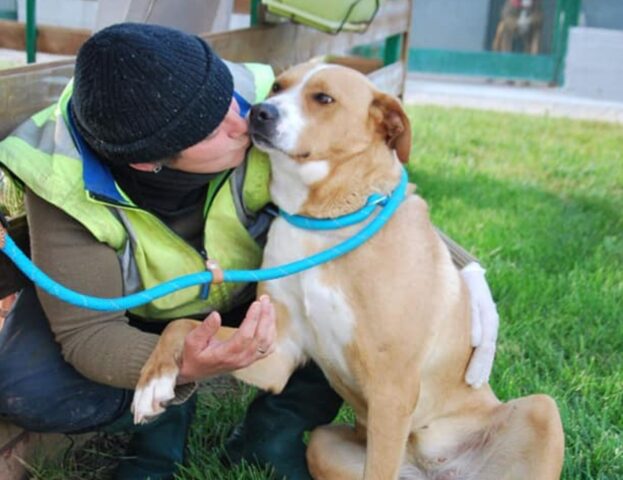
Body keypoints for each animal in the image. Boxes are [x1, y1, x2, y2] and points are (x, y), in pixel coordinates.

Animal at [130, 63, 564, 480]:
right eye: (278, 86)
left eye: (323, 98)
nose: (259, 113)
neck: (323, 223)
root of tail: (438, 471)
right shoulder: (279, 352)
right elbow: (180, 326)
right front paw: (153, 382)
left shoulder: (393, 389)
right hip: (322, 443)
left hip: (544, 409)